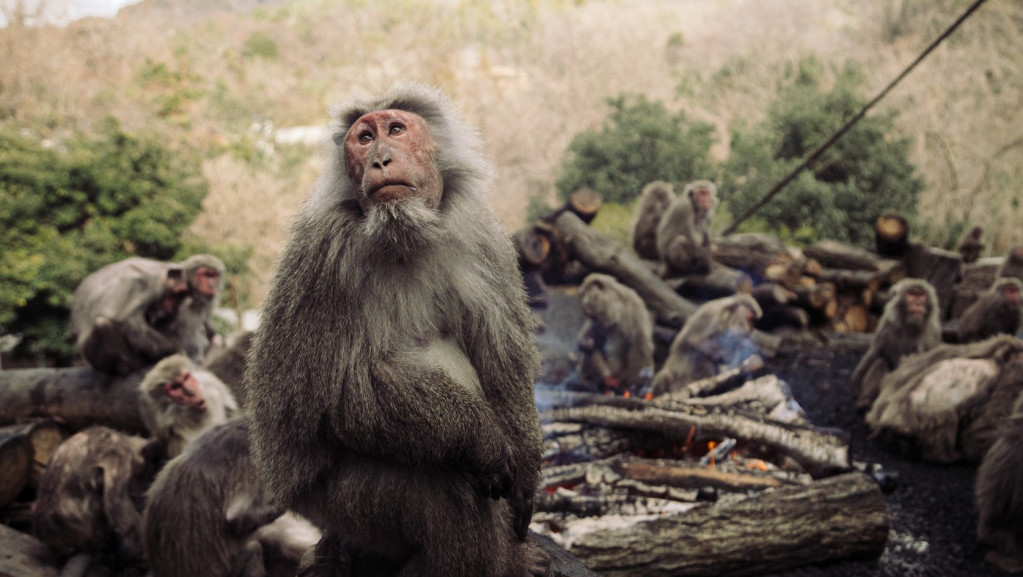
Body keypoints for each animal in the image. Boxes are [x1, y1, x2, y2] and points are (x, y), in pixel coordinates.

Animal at [71, 253, 225, 374]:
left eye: (214, 276)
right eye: (205, 274)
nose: (211, 285)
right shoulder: (143, 285)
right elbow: (127, 320)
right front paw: (177, 351)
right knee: (102, 324)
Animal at [244, 84, 548, 577]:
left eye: (396, 129)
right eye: (364, 137)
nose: (380, 159)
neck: (405, 234)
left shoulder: (482, 235)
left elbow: (501, 359)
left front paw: (526, 472)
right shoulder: (323, 256)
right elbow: (327, 396)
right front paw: (480, 436)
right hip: (342, 505)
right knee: (449, 494)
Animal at [847, 278, 941, 409]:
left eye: (921, 294)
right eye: (911, 294)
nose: (917, 304)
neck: (910, 325)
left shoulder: (933, 331)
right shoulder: (888, 324)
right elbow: (875, 352)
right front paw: (855, 382)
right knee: (880, 362)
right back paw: (865, 401)